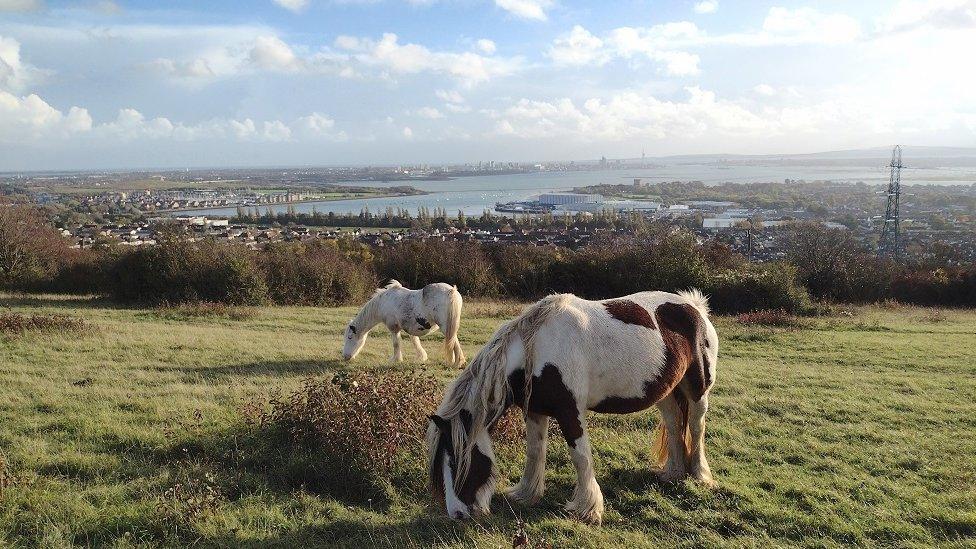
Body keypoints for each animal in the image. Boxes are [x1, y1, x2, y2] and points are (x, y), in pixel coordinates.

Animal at [426, 286, 716, 524]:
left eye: (459, 461)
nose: (457, 514)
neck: (536, 349)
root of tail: (694, 307)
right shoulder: (535, 410)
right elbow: (535, 451)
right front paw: (526, 494)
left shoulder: (570, 412)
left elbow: (580, 457)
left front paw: (588, 509)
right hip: (666, 392)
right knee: (674, 424)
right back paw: (674, 473)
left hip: (697, 390)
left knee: (696, 427)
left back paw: (700, 475)